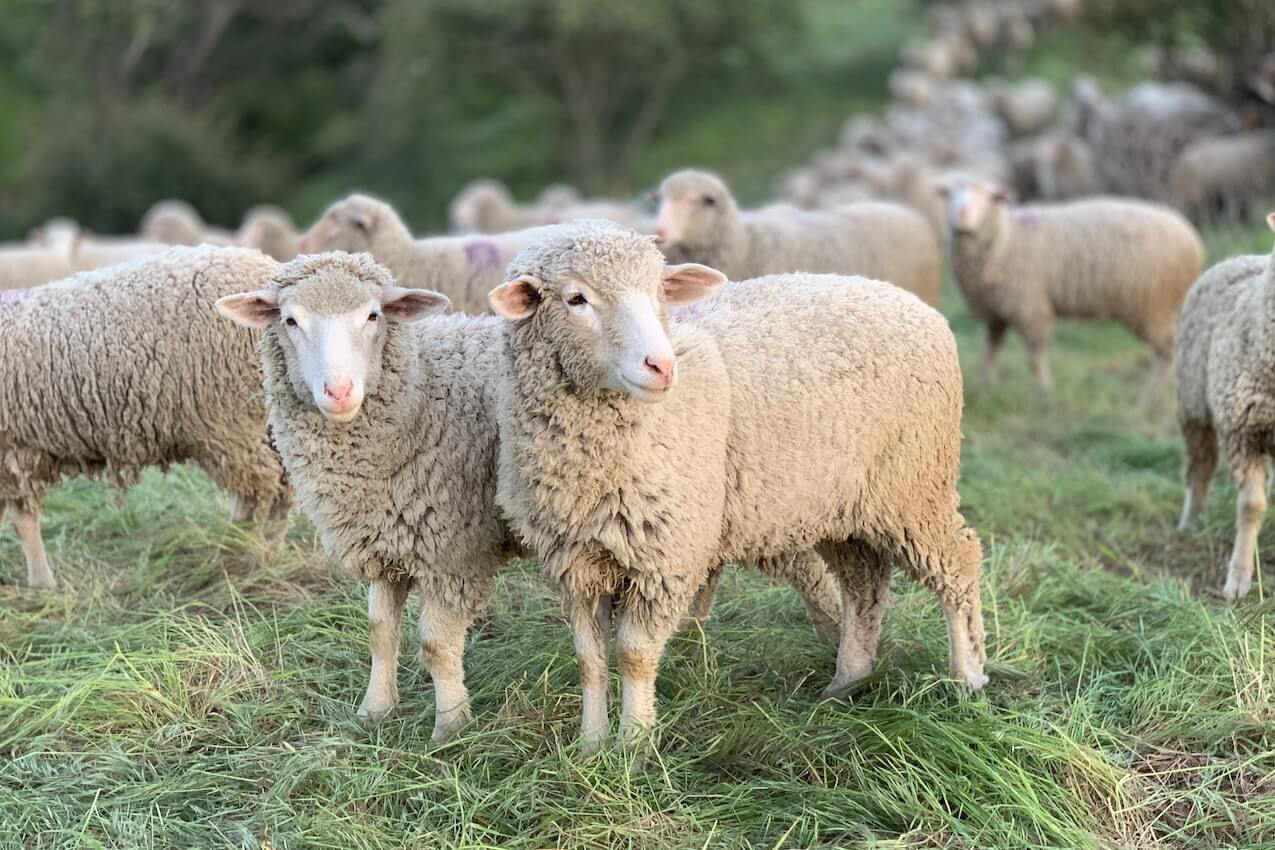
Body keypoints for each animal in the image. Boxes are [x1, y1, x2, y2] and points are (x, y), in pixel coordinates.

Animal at [1, 246, 291, 590]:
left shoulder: (10, 451)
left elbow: (24, 520)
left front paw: (41, 582)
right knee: (282, 484)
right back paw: (260, 544)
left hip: (229, 420)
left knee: (261, 488)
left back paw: (245, 550)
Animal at [215, 251, 842, 740]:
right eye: (290, 320)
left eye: (372, 316)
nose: (339, 391)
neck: (418, 394)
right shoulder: (386, 540)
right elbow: (379, 631)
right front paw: (374, 710)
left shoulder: (453, 549)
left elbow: (435, 644)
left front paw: (450, 727)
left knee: (815, 575)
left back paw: (838, 653)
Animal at [489, 220, 986, 748]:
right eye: (576, 299)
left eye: (660, 292)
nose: (661, 366)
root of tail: (914, 304)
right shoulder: (575, 562)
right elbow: (590, 659)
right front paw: (590, 744)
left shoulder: (667, 557)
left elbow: (634, 655)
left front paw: (635, 745)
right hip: (842, 503)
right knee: (863, 583)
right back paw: (848, 679)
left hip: (914, 487)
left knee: (958, 563)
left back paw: (967, 678)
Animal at [940, 178, 1203, 397]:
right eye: (951, 195)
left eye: (988, 196)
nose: (962, 213)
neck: (1005, 238)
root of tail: (1192, 239)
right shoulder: (995, 313)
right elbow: (990, 351)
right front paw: (987, 385)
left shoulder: (1030, 306)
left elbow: (1035, 356)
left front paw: (1043, 391)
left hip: (1153, 306)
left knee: (1167, 352)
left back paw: (1148, 400)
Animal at [1175, 214, 1275, 600]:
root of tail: (1239, 257)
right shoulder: (1240, 431)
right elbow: (1251, 507)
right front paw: (1238, 579)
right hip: (1193, 406)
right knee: (1199, 468)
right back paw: (1190, 522)